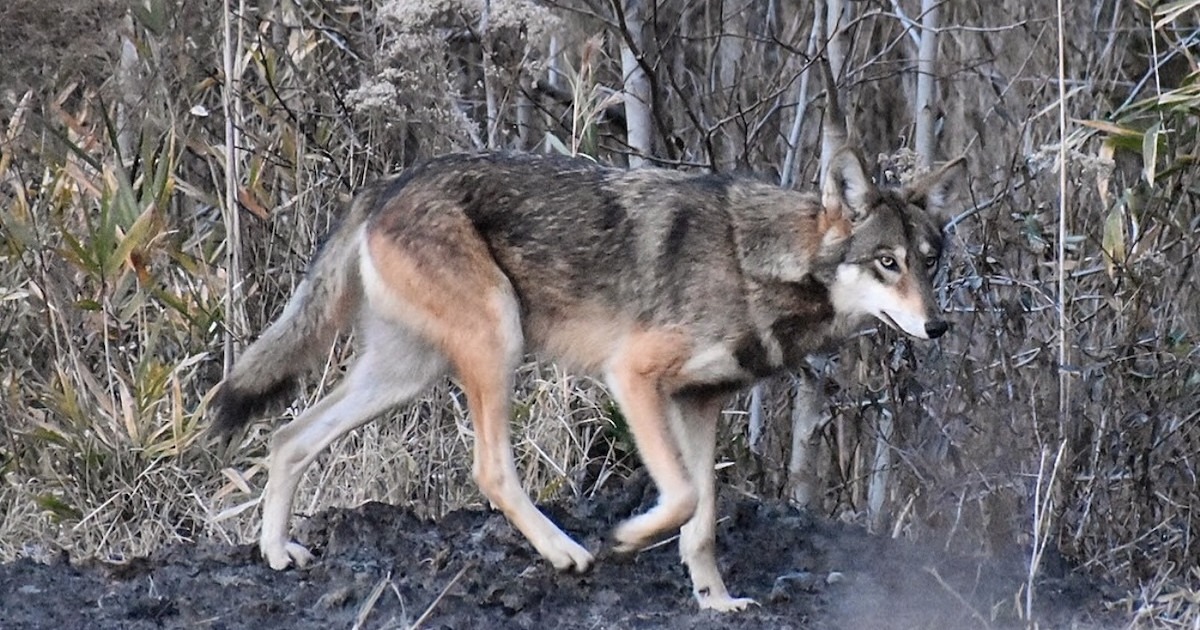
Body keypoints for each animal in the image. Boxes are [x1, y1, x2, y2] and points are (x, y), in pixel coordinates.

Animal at [211, 145, 963, 611]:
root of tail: (386, 184)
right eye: (887, 262)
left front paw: (717, 602)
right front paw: (628, 538)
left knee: (286, 438)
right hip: (497, 345)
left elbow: (704, 521)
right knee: (489, 470)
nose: (938, 327)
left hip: (403, 376)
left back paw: (275, 553)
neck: (758, 263)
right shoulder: (633, 377)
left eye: (929, 261)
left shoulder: (700, 404)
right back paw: (567, 553)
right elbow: (683, 498)